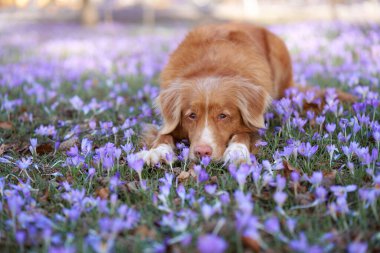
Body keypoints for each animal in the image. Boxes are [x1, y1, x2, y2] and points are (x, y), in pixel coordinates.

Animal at [135, 23, 302, 166]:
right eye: (192, 115)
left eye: (223, 116)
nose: (202, 152)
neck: (212, 67)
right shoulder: (170, 124)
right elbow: (163, 134)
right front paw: (158, 151)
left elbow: (244, 134)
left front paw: (237, 151)